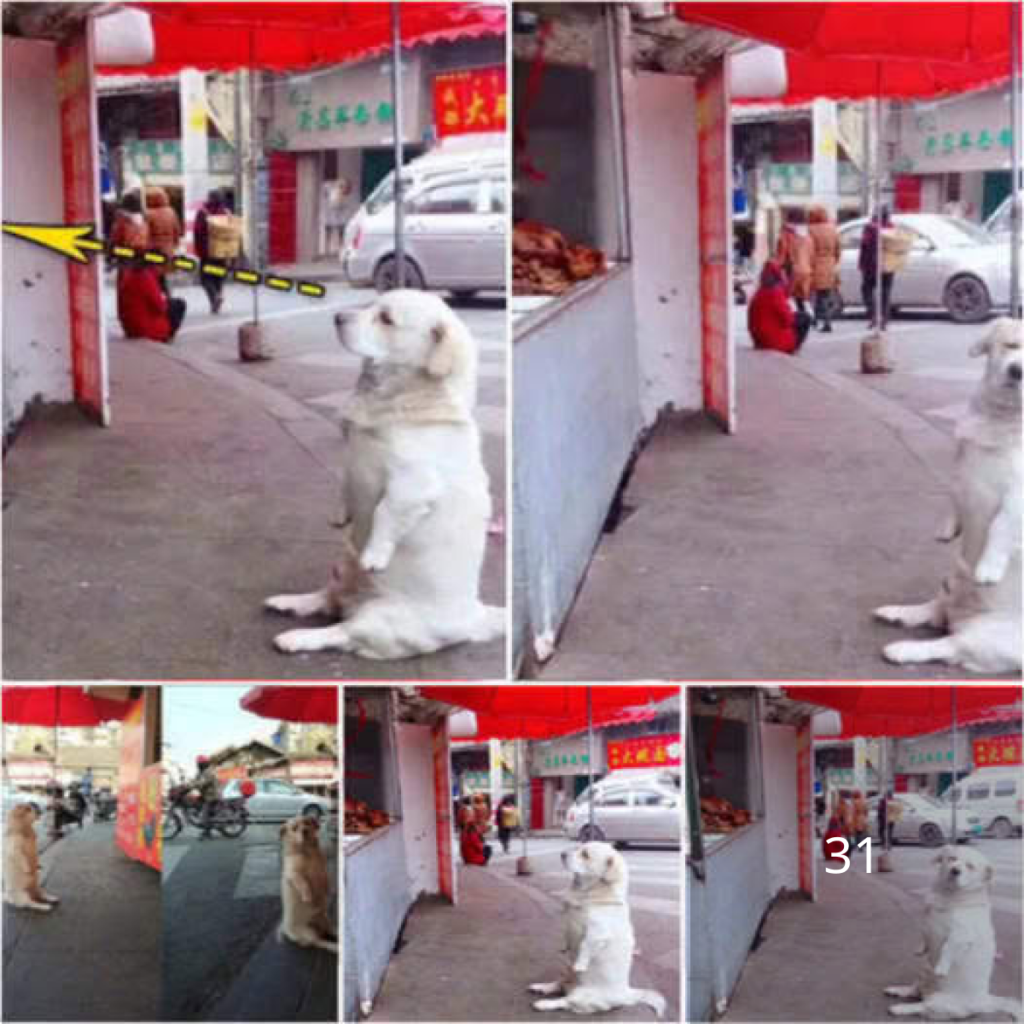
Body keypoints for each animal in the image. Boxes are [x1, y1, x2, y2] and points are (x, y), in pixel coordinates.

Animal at [264, 290, 503, 655]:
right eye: (372, 304)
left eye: (386, 319)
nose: (338, 317)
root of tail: (474, 618)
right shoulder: (350, 458)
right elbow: (344, 485)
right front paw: (340, 515)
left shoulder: (413, 483)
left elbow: (385, 512)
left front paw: (376, 555)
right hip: (342, 566)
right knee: (326, 599)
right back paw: (290, 602)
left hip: (378, 617)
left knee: (341, 630)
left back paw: (297, 638)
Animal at [278, 815, 337, 950]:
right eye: (294, 828)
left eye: (307, 823)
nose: (305, 830)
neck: (307, 852)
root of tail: (286, 930)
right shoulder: (293, 873)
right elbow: (303, 882)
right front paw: (307, 896)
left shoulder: (322, 870)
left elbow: (326, 879)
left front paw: (328, 890)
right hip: (309, 931)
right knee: (319, 942)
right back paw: (334, 946)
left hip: (324, 917)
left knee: (328, 930)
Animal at [532, 839, 667, 1015]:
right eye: (579, 847)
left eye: (585, 855)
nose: (562, 854)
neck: (588, 895)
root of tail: (627, 995)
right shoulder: (569, 923)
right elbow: (566, 935)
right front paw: (564, 947)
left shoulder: (598, 932)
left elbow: (585, 945)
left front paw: (580, 964)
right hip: (567, 972)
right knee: (559, 984)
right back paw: (541, 987)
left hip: (581, 995)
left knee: (565, 1001)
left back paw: (544, 1003)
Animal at [872, 315, 1024, 675]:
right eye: (1011, 345)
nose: (1018, 371)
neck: (1004, 420)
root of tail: (963, 616)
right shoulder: (961, 470)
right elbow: (954, 499)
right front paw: (946, 528)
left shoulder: (1017, 496)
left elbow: (1002, 525)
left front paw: (989, 568)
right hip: (950, 581)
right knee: (934, 610)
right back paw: (898, 613)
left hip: (983, 638)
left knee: (946, 643)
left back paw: (901, 649)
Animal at [884, 843, 1019, 1019]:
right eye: (952, 858)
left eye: (970, 866)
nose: (955, 870)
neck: (951, 897)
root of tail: (985, 1002)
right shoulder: (928, 923)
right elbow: (923, 935)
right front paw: (919, 948)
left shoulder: (962, 934)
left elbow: (948, 947)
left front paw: (942, 967)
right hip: (924, 971)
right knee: (914, 990)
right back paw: (897, 990)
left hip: (938, 1001)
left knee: (922, 1006)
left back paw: (900, 1008)